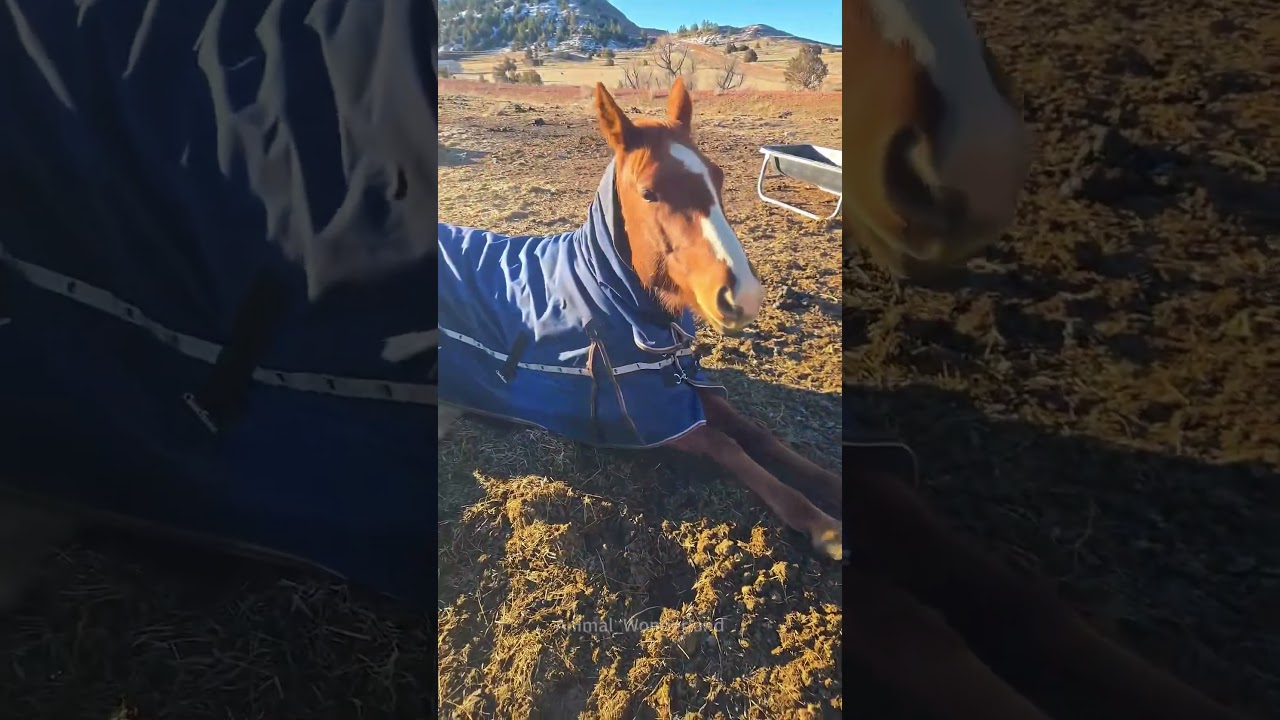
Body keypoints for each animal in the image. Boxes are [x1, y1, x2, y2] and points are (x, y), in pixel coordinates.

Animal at [430, 77, 845, 562]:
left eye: (718, 177)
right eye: (649, 192)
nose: (743, 294)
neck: (608, 294)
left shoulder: (687, 384)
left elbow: (759, 434)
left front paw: (832, 486)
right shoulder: (654, 423)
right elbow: (728, 445)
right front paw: (823, 527)